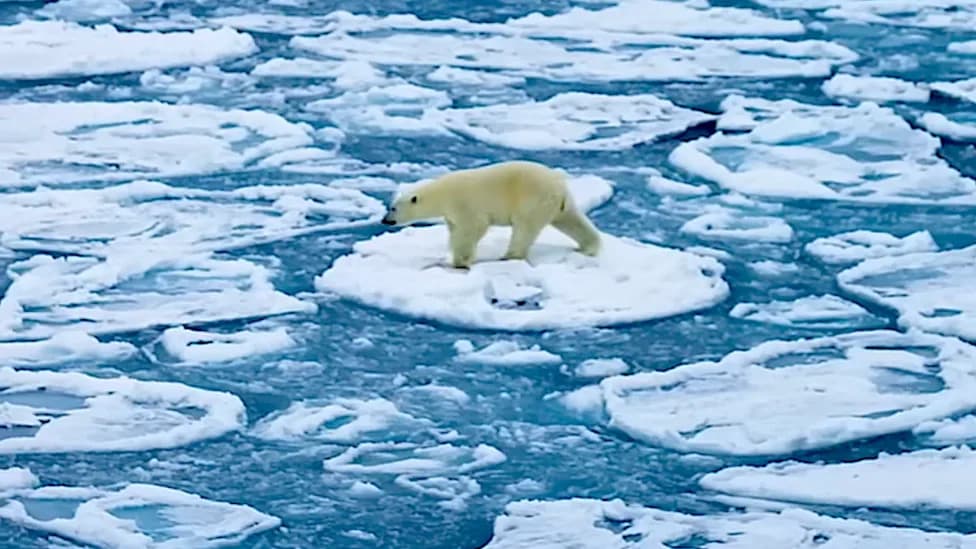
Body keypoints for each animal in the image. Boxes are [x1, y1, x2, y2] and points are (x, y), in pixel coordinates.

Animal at [380, 160, 602, 269]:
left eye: (393, 208)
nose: (385, 220)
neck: (442, 193)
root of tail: (559, 189)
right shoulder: (451, 214)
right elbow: (454, 230)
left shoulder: (464, 204)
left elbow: (472, 228)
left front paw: (460, 261)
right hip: (560, 205)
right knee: (572, 220)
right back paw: (589, 246)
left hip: (533, 200)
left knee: (524, 229)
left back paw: (507, 256)